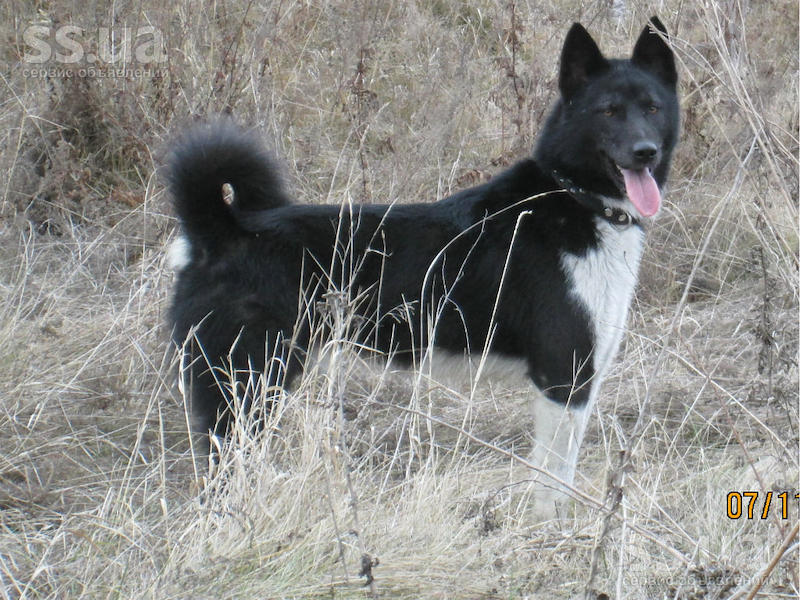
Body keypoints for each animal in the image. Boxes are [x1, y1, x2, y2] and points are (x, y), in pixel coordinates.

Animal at [167, 17, 676, 516]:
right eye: (608, 111)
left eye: (653, 108)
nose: (645, 151)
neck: (575, 198)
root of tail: (222, 230)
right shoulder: (563, 380)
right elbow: (552, 486)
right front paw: (555, 532)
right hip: (246, 389)